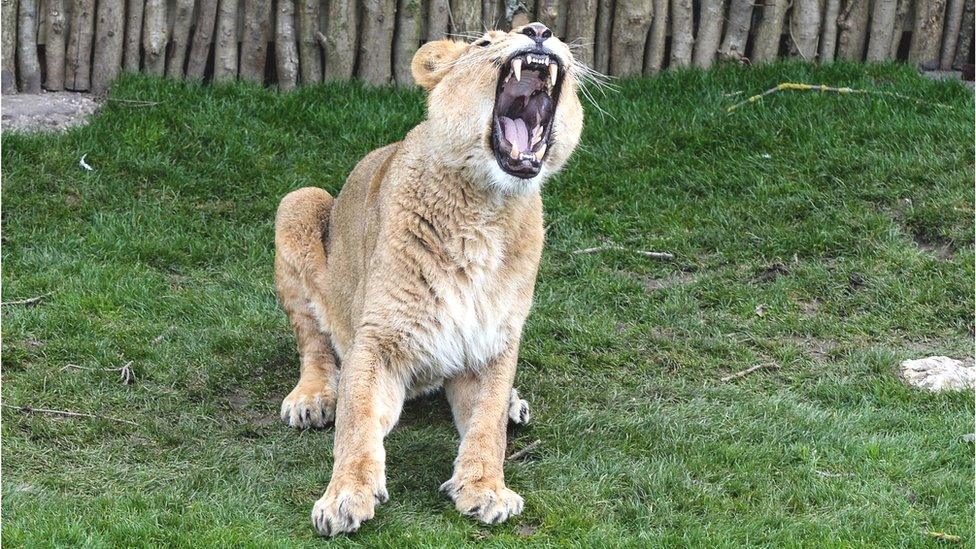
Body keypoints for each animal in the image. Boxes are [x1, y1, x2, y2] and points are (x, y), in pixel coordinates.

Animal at [273, 22, 584, 536]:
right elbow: (357, 422)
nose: (539, 30)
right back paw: (313, 398)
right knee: (315, 343)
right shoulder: (377, 340)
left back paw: (514, 405)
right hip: (298, 201)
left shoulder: (492, 343)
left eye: (544, 28)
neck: (487, 207)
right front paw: (344, 497)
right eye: (484, 43)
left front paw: (484, 488)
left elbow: (487, 427)